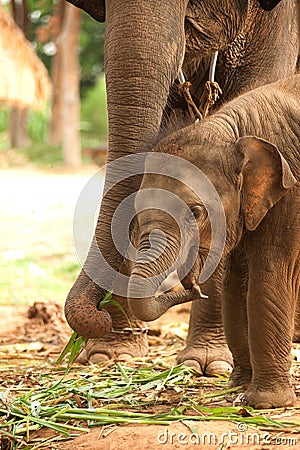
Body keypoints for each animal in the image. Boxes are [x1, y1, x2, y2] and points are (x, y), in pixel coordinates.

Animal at [127, 75, 300, 410]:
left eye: (195, 213)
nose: (194, 287)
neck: (233, 130)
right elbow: (233, 285)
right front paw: (237, 388)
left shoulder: (292, 193)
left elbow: (269, 275)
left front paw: (265, 404)